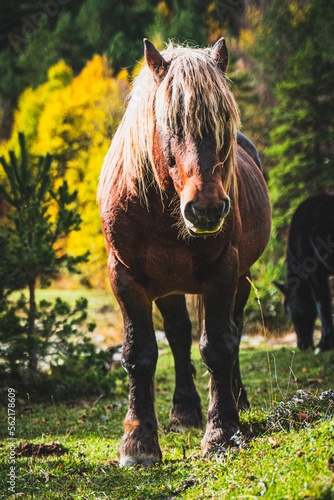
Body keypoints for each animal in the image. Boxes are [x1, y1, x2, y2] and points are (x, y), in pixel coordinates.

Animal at [97, 38, 272, 464]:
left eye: (224, 123)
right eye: (170, 124)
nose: (205, 208)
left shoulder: (224, 272)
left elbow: (219, 347)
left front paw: (222, 431)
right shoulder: (125, 277)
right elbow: (139, 354)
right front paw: (139, 441)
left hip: (241, 278)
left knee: (234, 330)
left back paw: (236, 399)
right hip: (169, 285)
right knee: (177, 337)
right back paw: (183, 411)